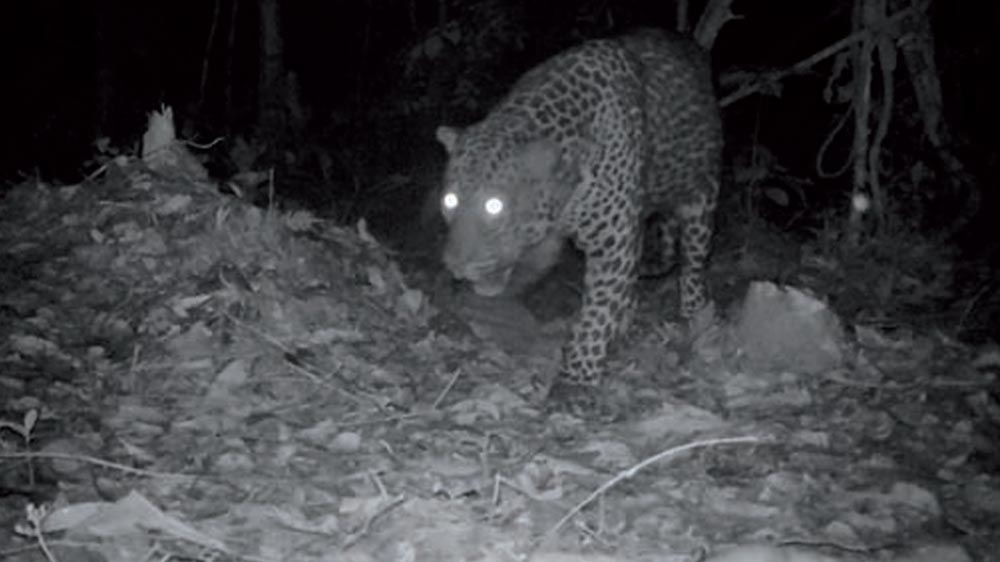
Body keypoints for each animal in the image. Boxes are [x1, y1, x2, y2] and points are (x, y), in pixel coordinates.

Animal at [435, 29, 723, 412]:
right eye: (449, 201)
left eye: (494, 205)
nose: (455, 266)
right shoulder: (549, 240)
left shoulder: (613, 242)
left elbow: (594, 314)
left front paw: (577, 379)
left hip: (701, 194)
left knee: (692, 262)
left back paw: (694, 318)